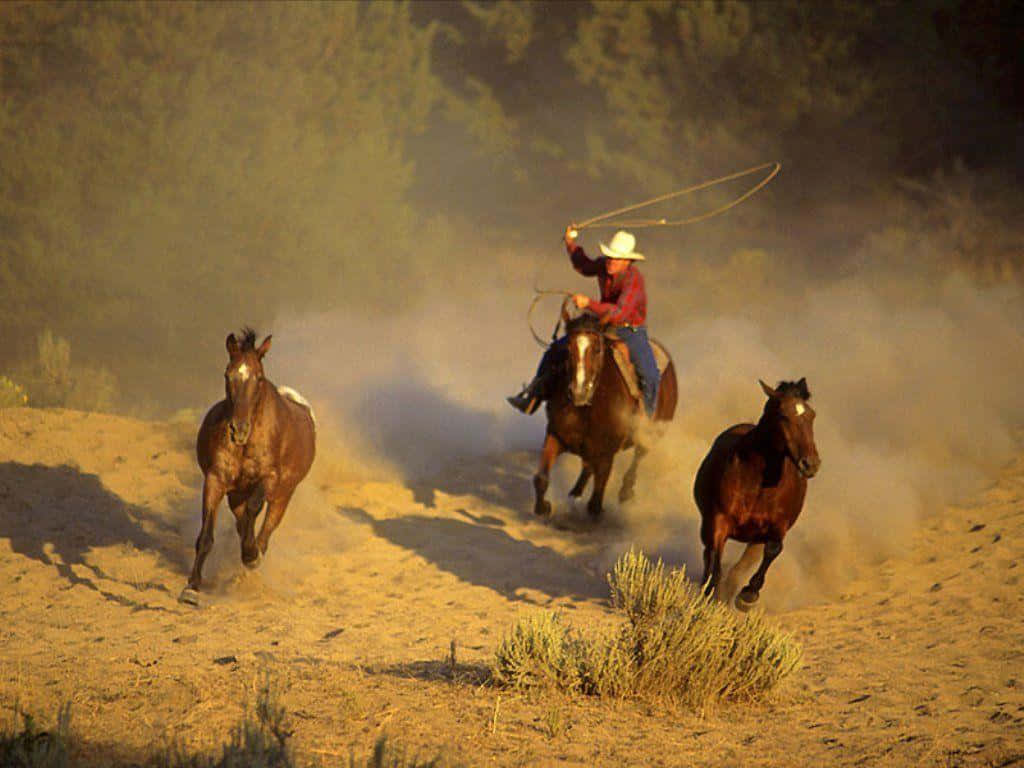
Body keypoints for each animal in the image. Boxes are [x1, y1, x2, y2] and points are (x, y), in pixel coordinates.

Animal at [179, 327, 315, 606]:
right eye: (227, 374)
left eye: (259, 378)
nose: (238, 430)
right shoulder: (215, 480)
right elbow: (206, 536)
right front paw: (192, 588)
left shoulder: (269, 479)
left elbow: (255, 509)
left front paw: (251, 555)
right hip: (235, 494)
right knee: (242, 522)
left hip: (283, 495)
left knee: (266, 527)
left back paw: (252, 557)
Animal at [532, 313, 675, 524]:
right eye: (568, 348)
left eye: (597, 349)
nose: (579, 392)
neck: (587, 408)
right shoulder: (556, 435)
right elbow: (541, 478)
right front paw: (544, 507)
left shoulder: (607, 453)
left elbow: (595, 504)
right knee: (588, 466)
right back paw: (576, 492)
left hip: (653, 434)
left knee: (638, 456)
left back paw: (625, 491)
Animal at [692, 378, 819, 614]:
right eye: (783, 415)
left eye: (812, 415)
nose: (811, 464)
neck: (757, 483)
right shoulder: (719, 520)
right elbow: (716, 560)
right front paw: (711, 594)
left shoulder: (777, 527)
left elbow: (773, 550)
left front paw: (747, 595)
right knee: (708, 554)